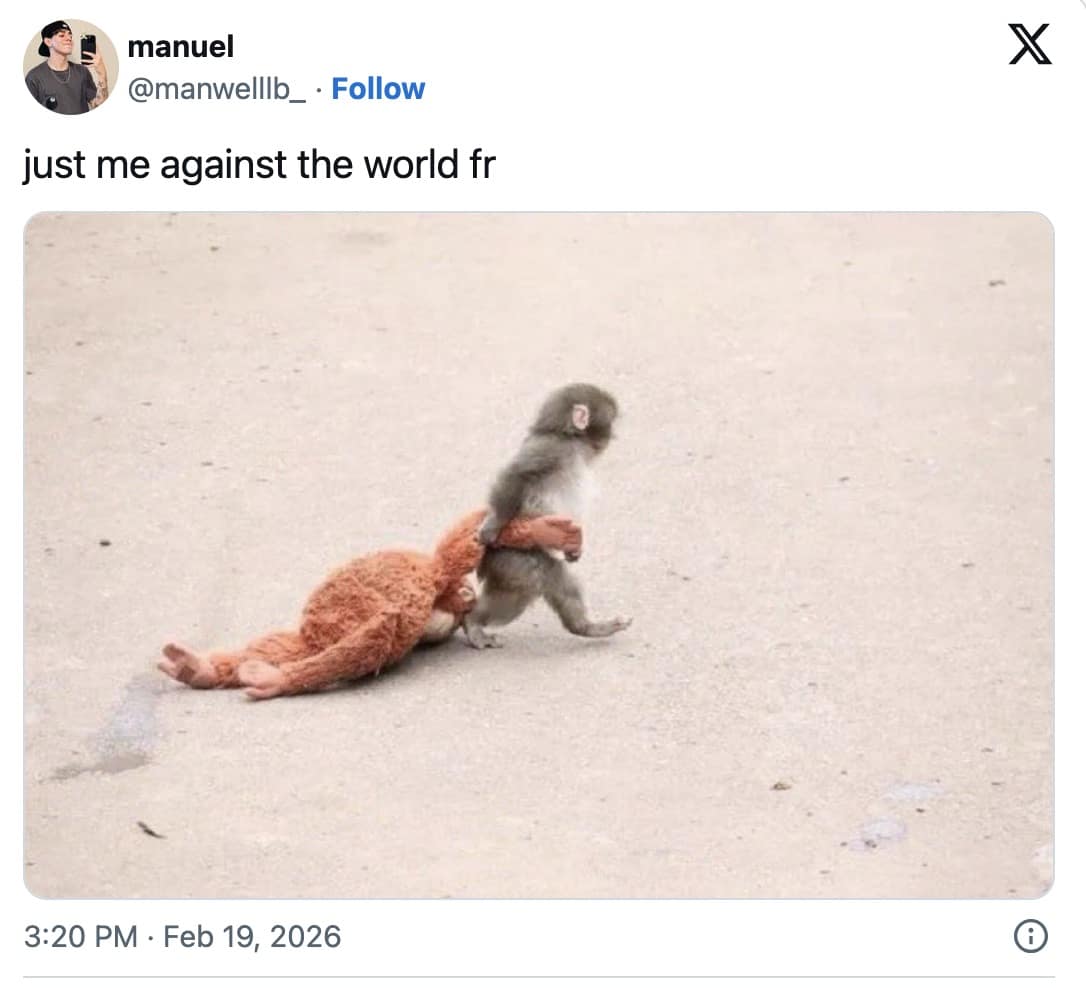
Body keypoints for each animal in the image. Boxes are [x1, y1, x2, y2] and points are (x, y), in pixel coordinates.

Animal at [462, 382, 632, 649]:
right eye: (611, 421)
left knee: (544, 589)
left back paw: (588, 627)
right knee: (533, 581)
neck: (569, 439)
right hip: (513, 557)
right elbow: (517, 474)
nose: (612, 436)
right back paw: (472, 623)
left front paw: (574, 550)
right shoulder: (550, 449)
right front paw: (493, 524)